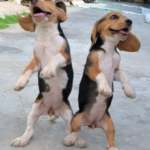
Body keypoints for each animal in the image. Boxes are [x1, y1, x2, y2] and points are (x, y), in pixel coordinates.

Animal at [10, 0, 74, 147]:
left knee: (70, 130)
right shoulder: (36, 61)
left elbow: (54, 58)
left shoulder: (65, 56)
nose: (32, 1)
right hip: (34, 110)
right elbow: (27, 69)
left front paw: (48, 71)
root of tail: (52, 109)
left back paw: (73, 139)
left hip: (69, 113)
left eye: (49, 1)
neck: (46, 36)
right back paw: (22, 139)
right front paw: (20, 83)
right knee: (30, 129)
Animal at [62, 12, 140, 150]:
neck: (109, 50)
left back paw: (113, 148)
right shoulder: (91, 68)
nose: (130, 21)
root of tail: (92, 123)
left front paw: (130, 91)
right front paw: (105, 88)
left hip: (109, 123)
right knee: (76, 130)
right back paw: (71, 139)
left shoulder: (115, 71)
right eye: (114, 16)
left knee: (110, 137)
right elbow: (102, 74)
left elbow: (124, 74)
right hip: (77, 117)